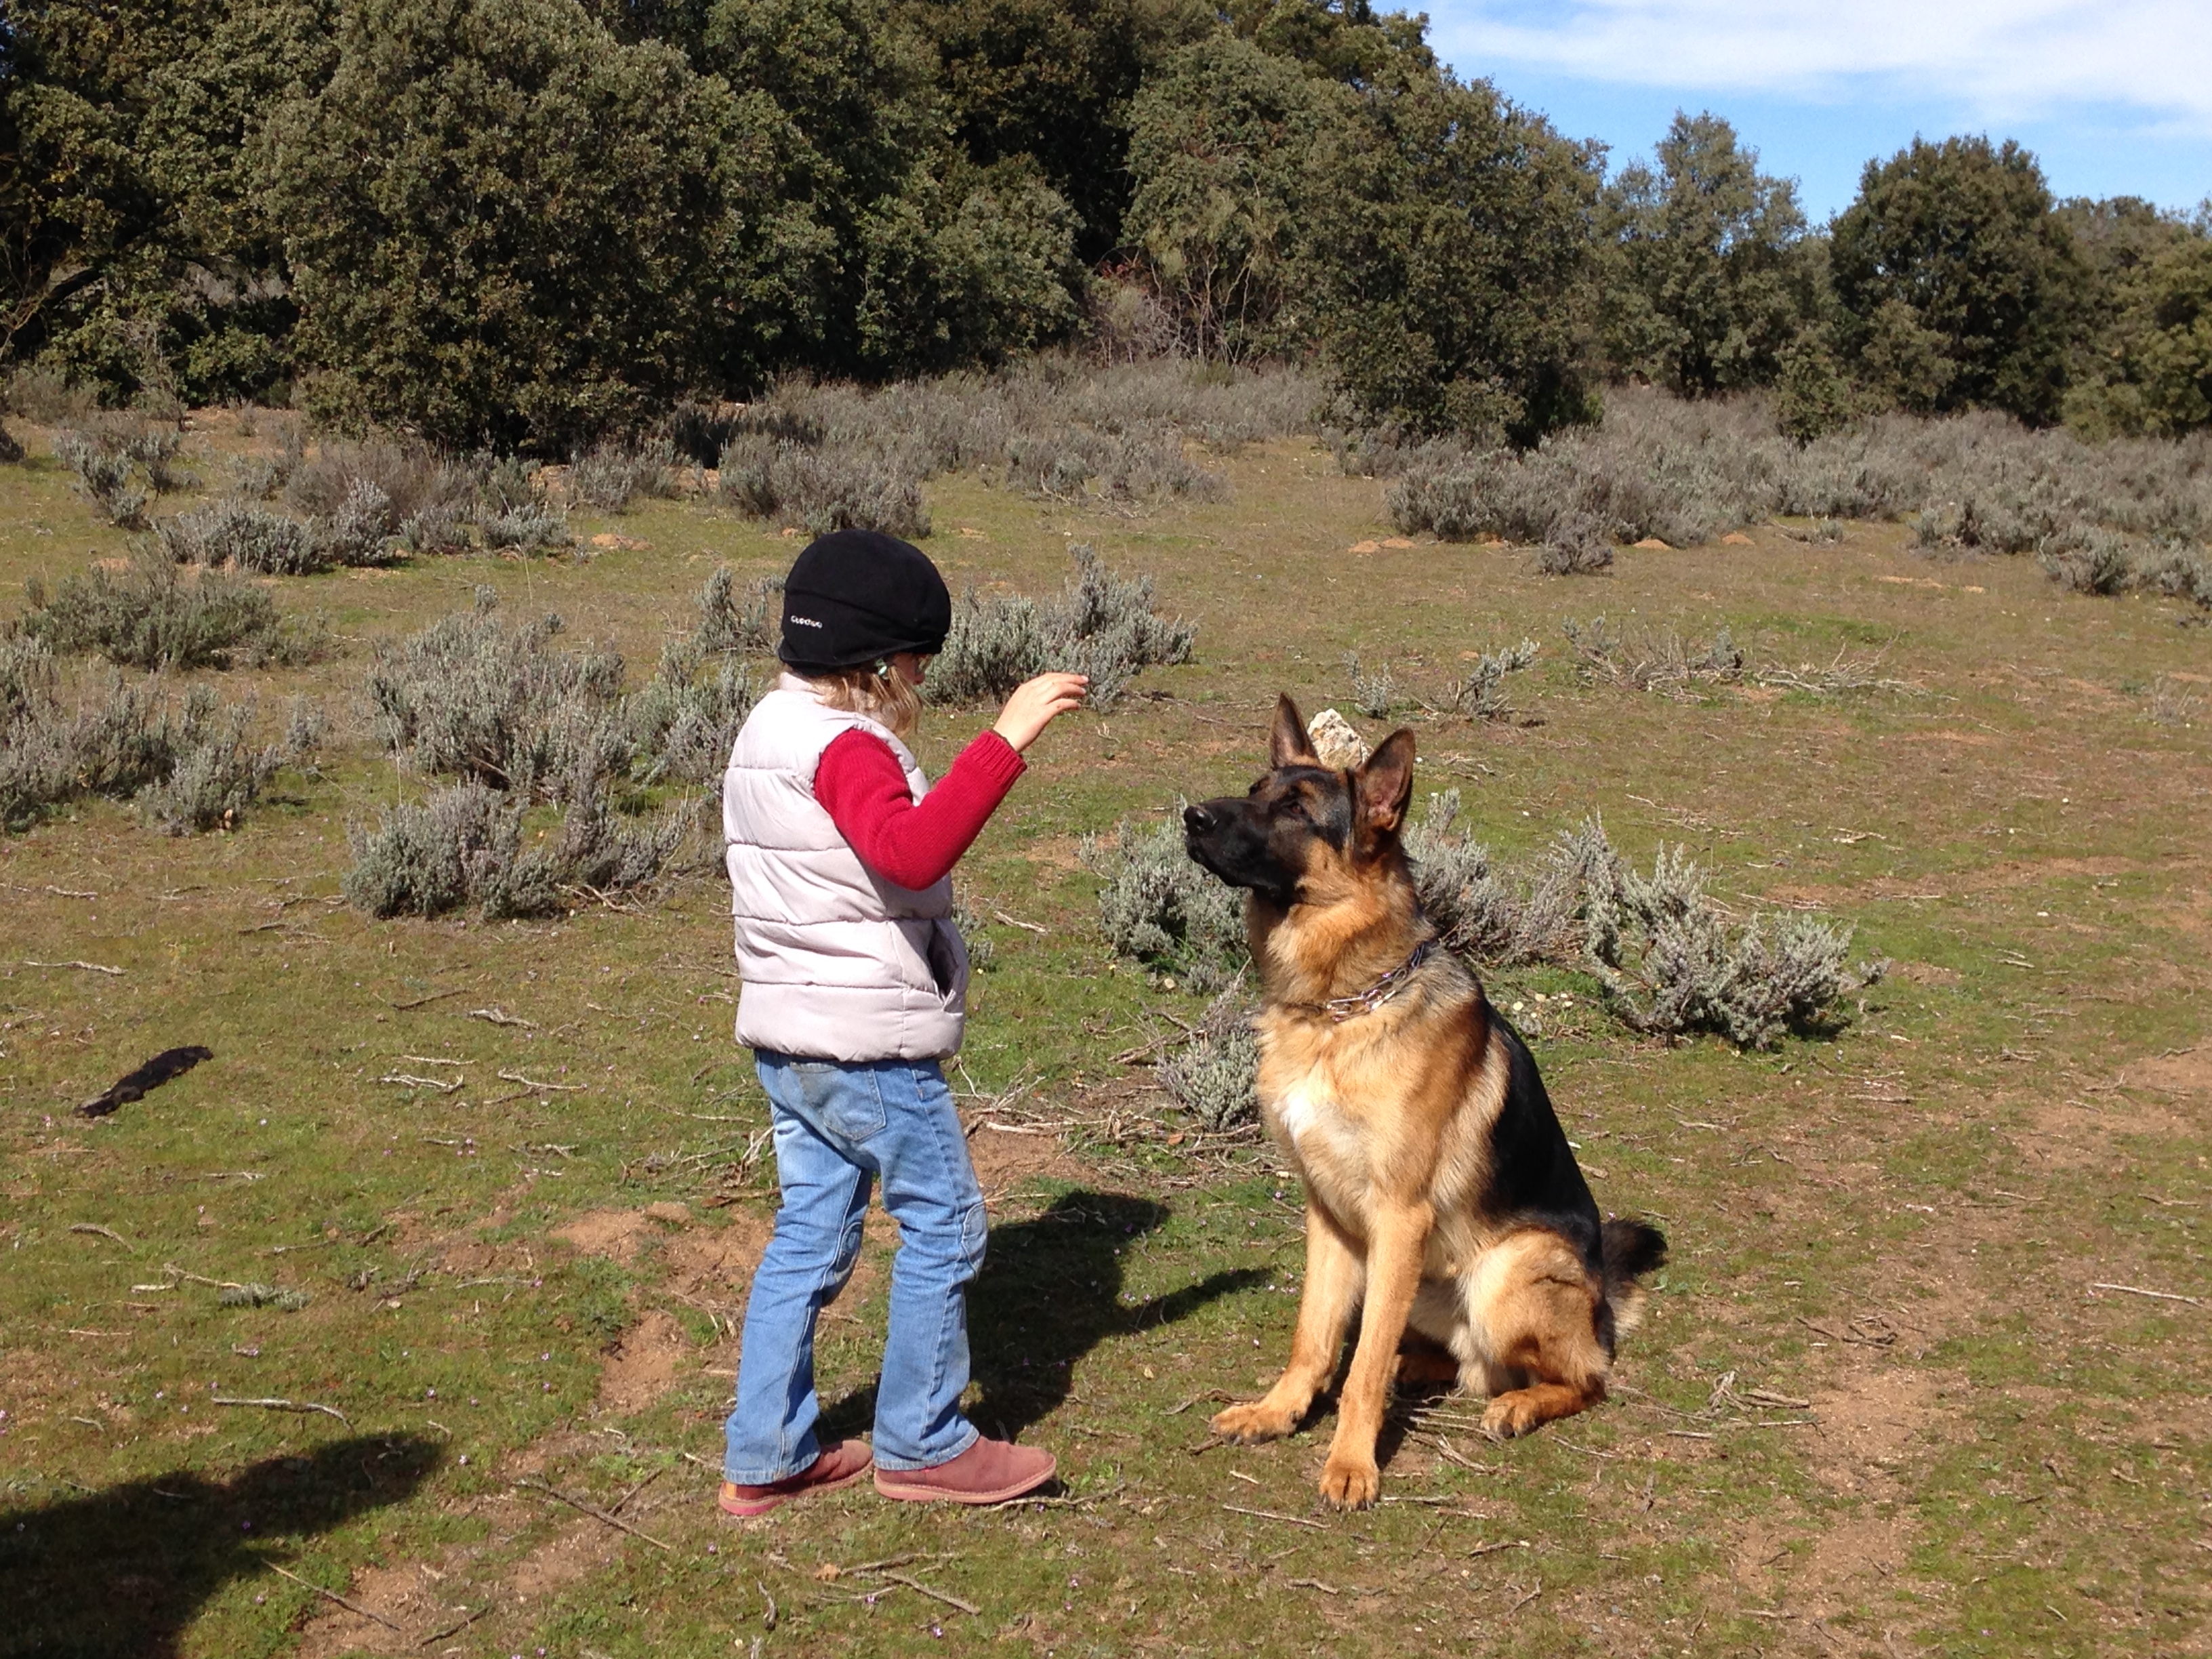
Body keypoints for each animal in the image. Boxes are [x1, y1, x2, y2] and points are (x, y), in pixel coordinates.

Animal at [1185, 694, 1663, 1513]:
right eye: (1254, 789)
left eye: (1296, 808)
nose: (1190, 815)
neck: (1340, 1009)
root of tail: (1601, 1298)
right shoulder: (1329, 1215)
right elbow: (1315, 1338)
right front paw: (1279, 1412)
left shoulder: (1398, 1217)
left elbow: (1362, 1365)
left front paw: (1351, 1463)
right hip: (1424, 1288)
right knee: (1464, 1365)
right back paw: (1429, 1370)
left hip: (1507, 1272)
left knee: (1583, 1378)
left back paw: (1519, 1406)